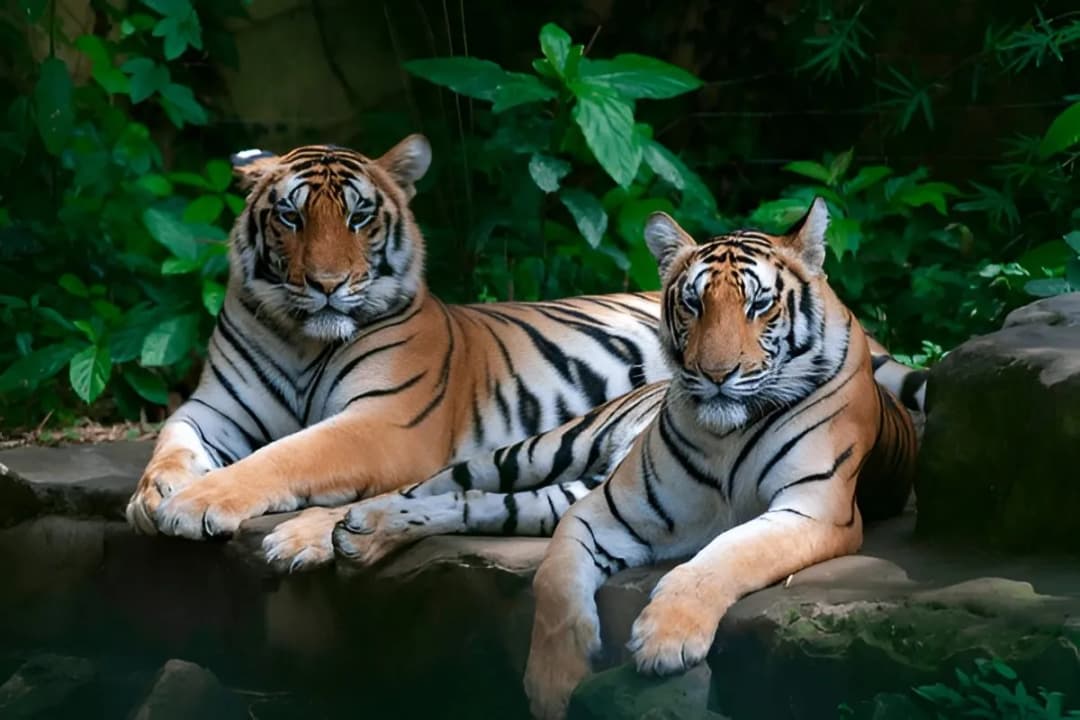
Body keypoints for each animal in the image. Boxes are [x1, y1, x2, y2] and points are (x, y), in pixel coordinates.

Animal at [124, 133, 675, 541]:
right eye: (290, 216)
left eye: (359, 216)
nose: (326, 284)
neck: (304, 341)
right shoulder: (216, 407)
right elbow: (173, 441)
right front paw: (153, 494)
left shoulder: (384, 421)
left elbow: (285, 455)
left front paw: (196, 502)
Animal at [309, 198, 924, 720]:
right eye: (694, 304)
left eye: (759, 305)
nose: (715, 374)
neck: (727, 434)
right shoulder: (603, 511)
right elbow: (555, 584)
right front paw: (553, 684)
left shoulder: (813, 510)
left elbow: (726, 554)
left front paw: (666, 639)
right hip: (544, 451)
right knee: (444, 482)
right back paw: (343, 528)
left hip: (553, 494)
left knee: (474, 503)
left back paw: (361, 533)